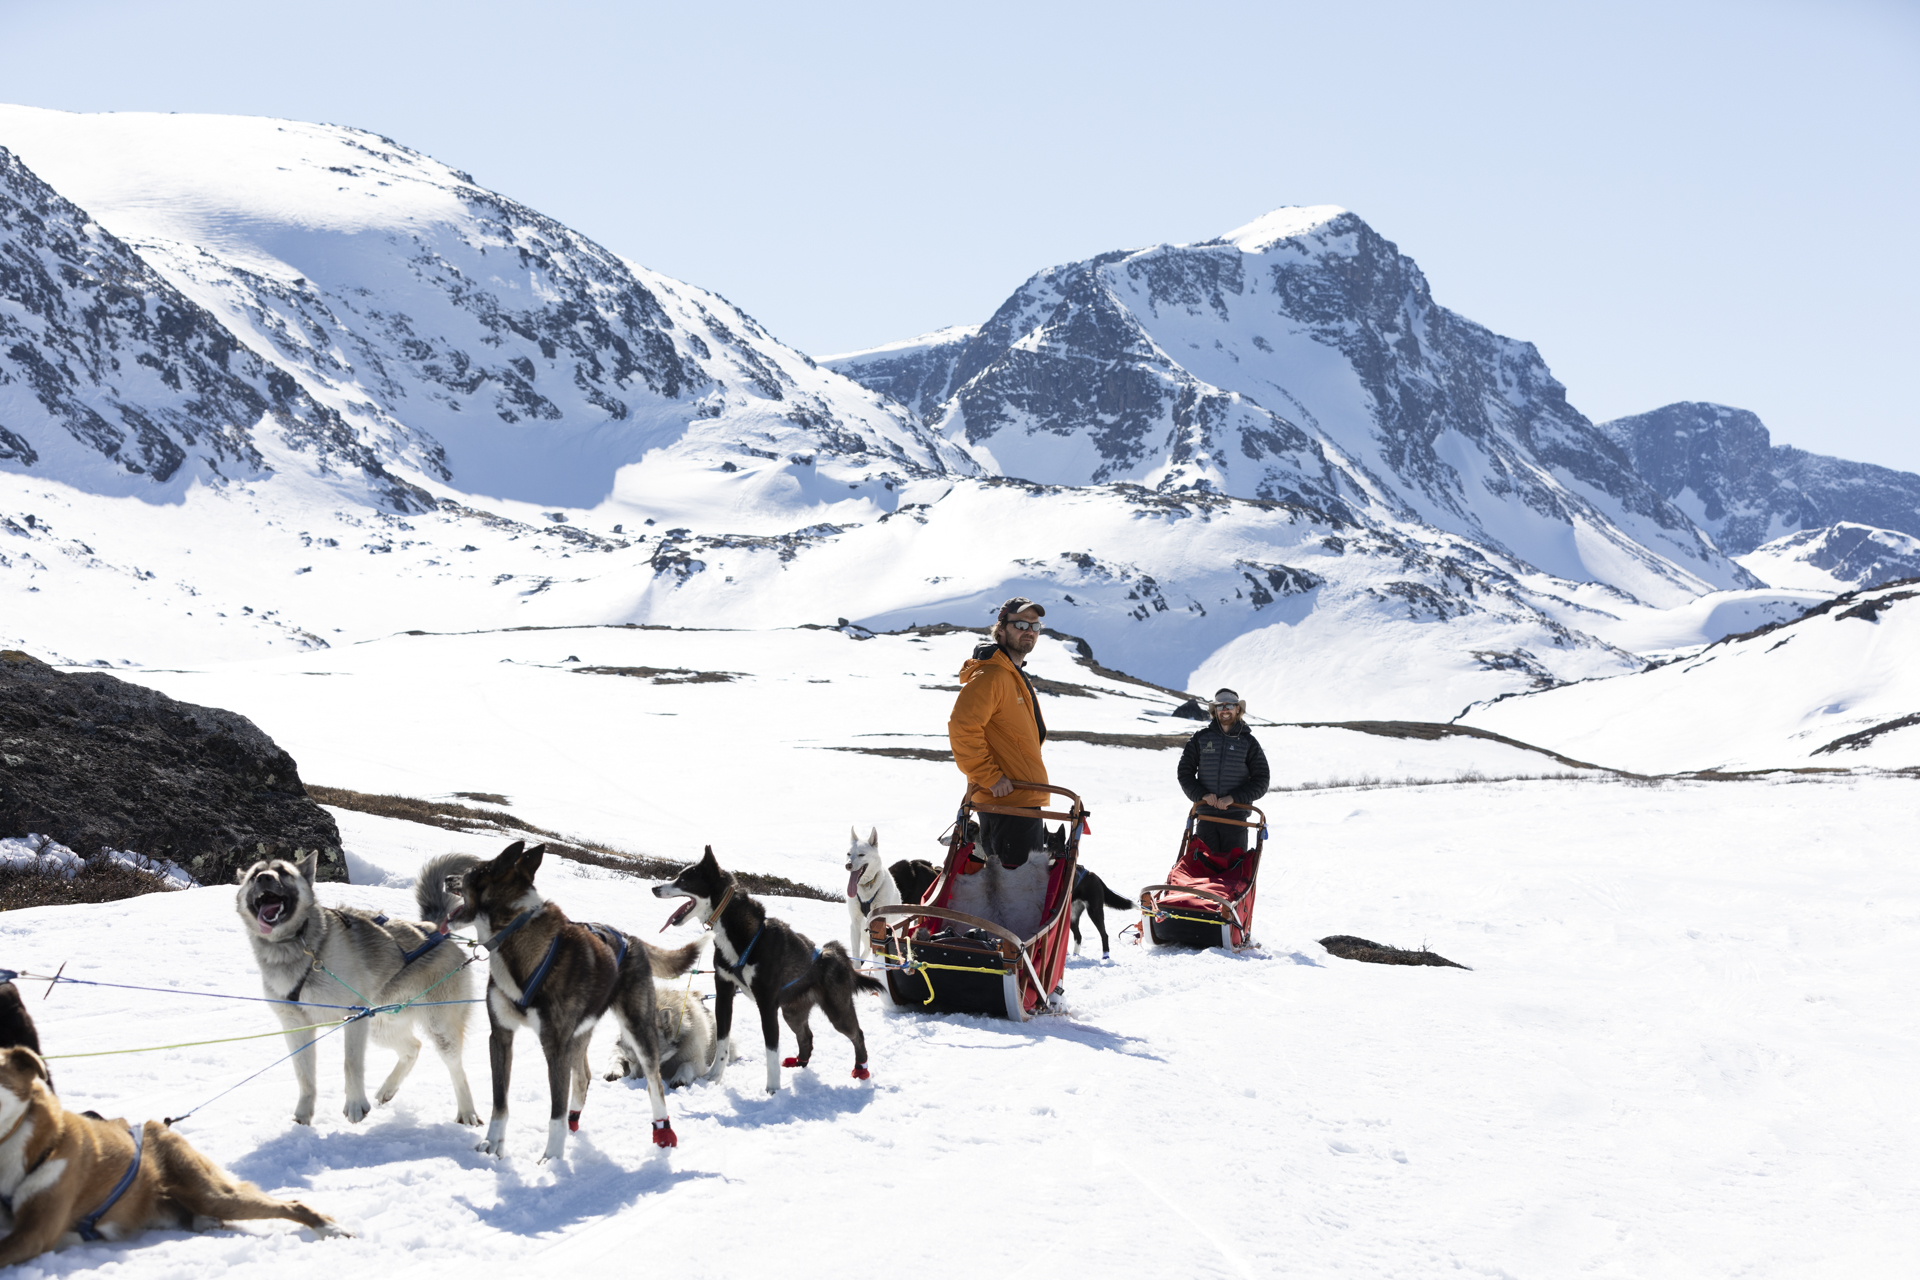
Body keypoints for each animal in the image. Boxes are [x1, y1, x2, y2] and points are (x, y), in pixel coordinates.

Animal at [235, 855, 483, 1128]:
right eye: (255, 874)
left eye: (283, 872)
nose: (264, 878)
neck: (299, 948)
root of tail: (433, 928)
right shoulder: (295, 1026)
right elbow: (305, 1076)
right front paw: (302, 1119)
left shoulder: (353, 1017)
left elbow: (351, 1064)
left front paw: (355, 1106)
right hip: (379, 1025)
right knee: (413, 1048)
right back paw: (387, 1089)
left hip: (438, 1028)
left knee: (457, 1070)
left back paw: (467, 1112)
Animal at [443, 840, 706, 1159]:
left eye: (470, 872)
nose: (447, 878)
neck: (515, 937)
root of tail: (632, 939)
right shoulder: (501, 1035)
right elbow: (500, 1101)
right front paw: (493, 1145)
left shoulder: (554, 1044)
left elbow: (555, 1109)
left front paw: (552, 1158)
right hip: (579, 1035)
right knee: (584, 1077)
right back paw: (573, 1123)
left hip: (638, 1029)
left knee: (654, 1082)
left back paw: (663, 1132)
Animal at [652, 844, 879, 1097]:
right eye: (678, 875)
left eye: (684, 879)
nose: (654, 888)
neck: (739, 934)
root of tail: (837, 955)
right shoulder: (724, 993)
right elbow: (722, 1040)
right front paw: (714, 1077)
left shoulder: (767, 1004)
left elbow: (771, 1048)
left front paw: (773, 1089)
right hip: (792, 1013)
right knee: (806, 1037)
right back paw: (800, 1063)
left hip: (837, 1012)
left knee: (857, 1034)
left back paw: (861, 1069)